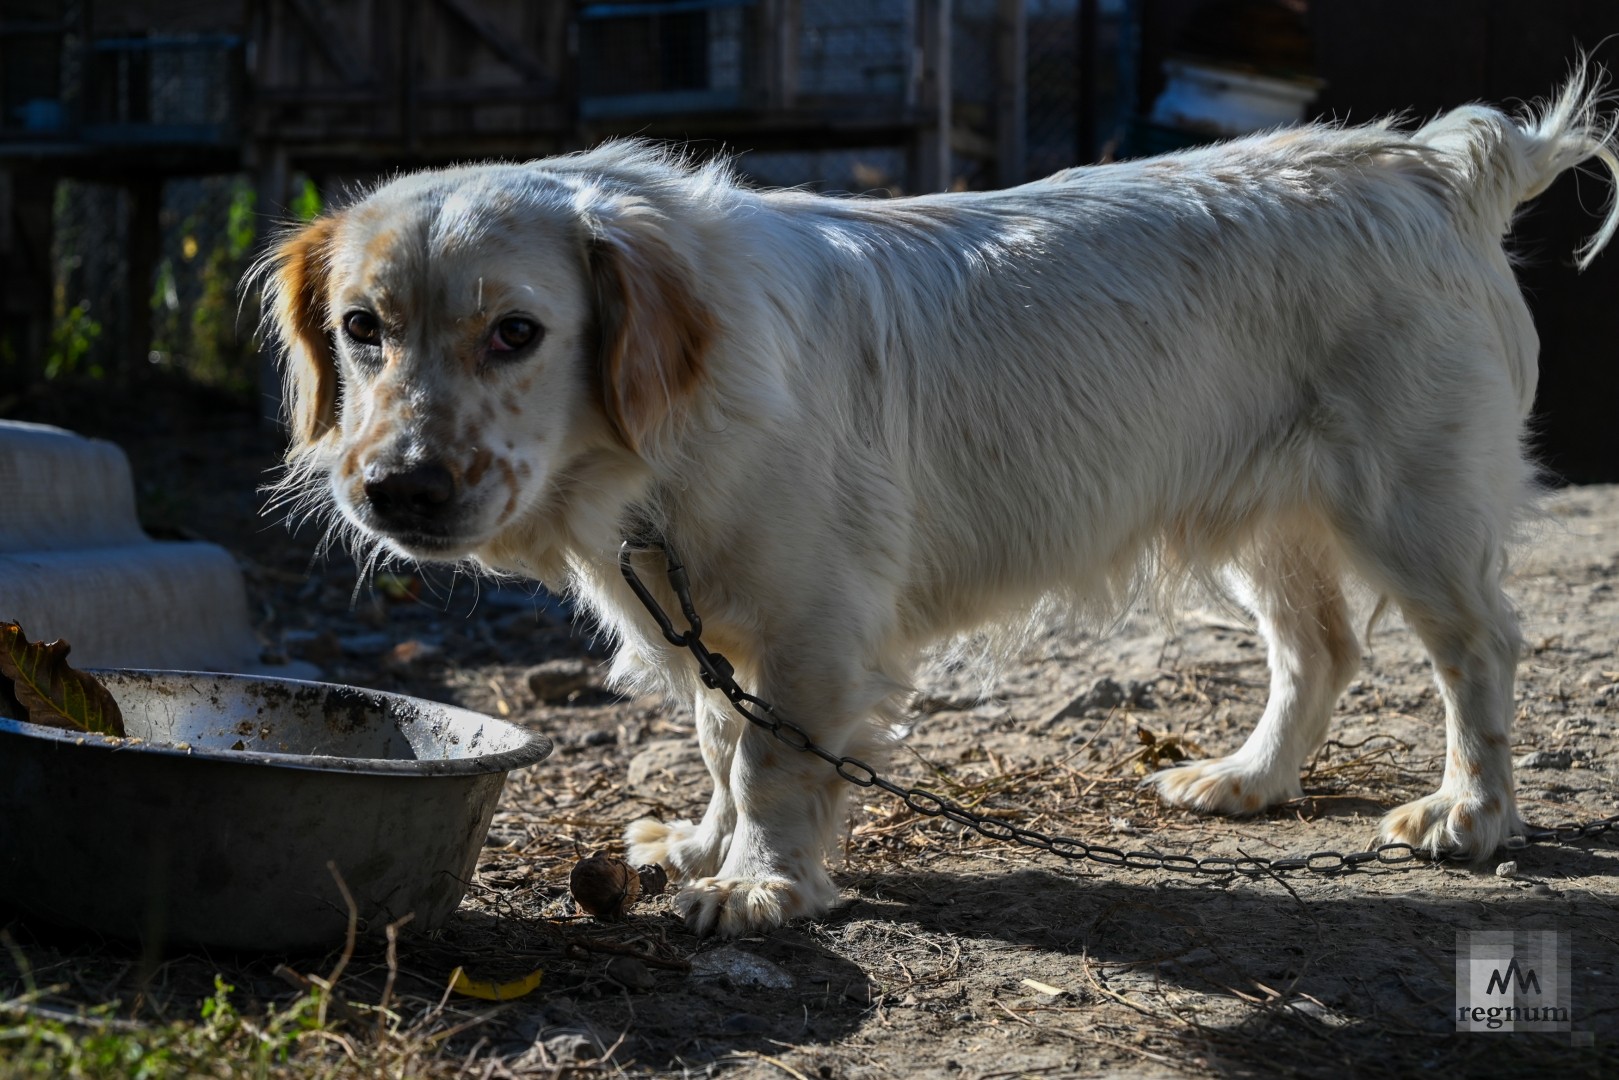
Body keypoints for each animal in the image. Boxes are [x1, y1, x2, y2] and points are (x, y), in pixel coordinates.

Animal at [259, 76, 1619, 939]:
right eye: (362, 330)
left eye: (517, 332)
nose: (395, 487)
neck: (659, 438)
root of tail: (1433, 162)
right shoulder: (712, 625)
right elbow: (715, 740)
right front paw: (700, 849)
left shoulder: (812, 626)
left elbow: (767, 761)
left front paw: (756, 886)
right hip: (1261, 521)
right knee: (1320, 649)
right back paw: (1245, 780)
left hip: (1410, 508)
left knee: (1477, 651)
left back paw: (1470, 814)